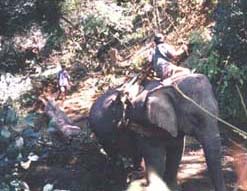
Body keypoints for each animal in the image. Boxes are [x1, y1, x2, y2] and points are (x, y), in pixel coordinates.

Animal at [89, 73, 226, 191]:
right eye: (195, 118)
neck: (168, 86)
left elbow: (176, 152)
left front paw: (173, 187)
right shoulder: (144, 124)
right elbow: (156, 157)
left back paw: (136, 173)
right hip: (100, 133)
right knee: (112, 153)